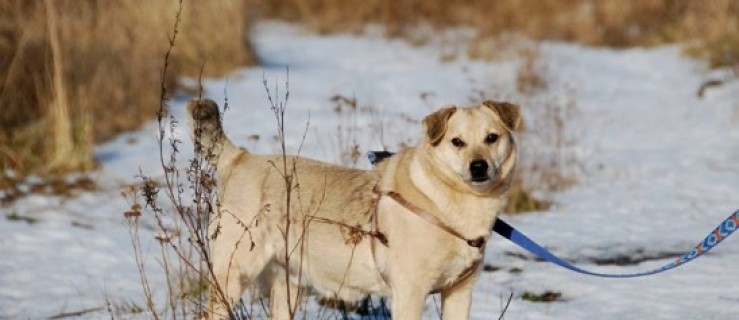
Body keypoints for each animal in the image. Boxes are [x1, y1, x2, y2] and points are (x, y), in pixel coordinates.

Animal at [186, 99, 520, 318]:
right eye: (457, 142)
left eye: (492, 138)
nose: (479, 167)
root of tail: (240, 158)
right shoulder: (410, 292)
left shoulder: (460, 292)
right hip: (233, 276)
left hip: (288, 285)